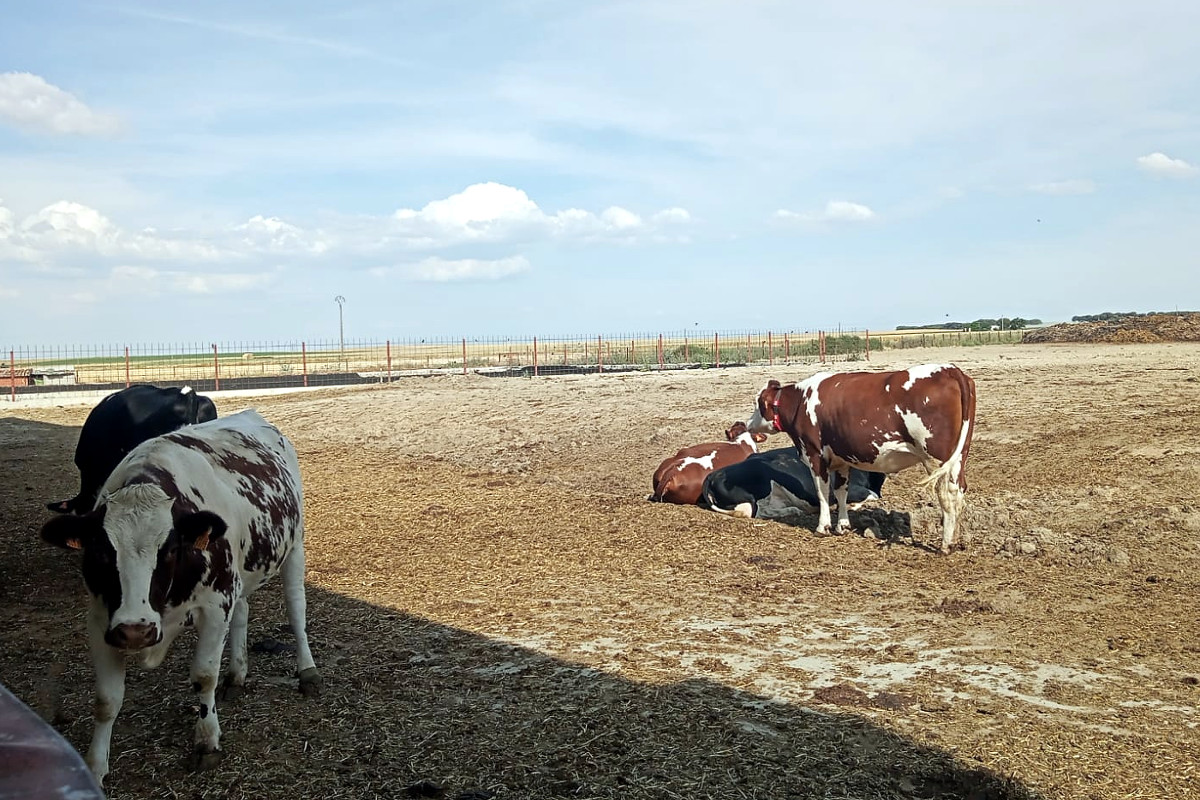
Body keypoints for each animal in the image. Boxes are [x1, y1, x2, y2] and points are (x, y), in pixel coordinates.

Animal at [39, 409, 320, 785]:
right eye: (100, 552)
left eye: (170, 550)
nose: (136, 630)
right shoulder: (101, 619)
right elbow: (106, 700)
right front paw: (95, 766)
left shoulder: (215, 605)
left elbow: (203, 676)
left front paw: (207, 741)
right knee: (243, 611)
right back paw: (237, 674)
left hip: (295, 545)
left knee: (296, 609)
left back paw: (307, 671)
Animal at [746, 363, 976, 553]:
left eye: (757, 403)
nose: (748, 423)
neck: (801, 402)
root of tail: (949, 370)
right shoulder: (841, 460)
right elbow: (841, 492)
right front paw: (843, 525)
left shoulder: (815, 455)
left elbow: (822, 492)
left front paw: (823, 526)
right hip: (958, 458)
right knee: (959, 491)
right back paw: (956, 540)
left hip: (936, 459)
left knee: (946, 495)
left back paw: (945, 545)